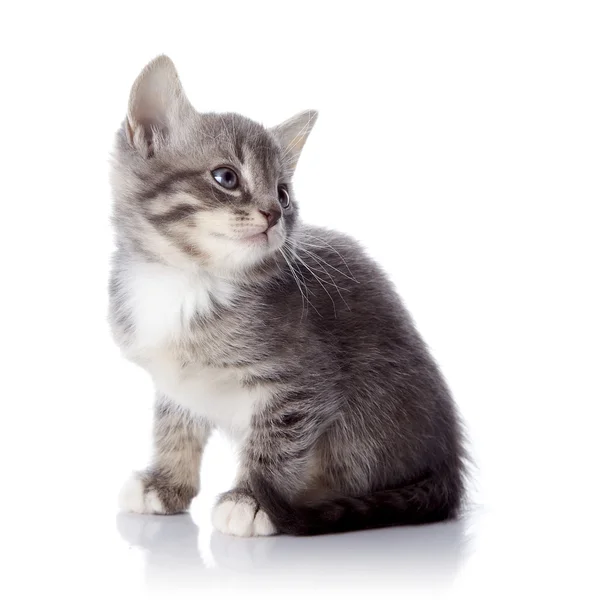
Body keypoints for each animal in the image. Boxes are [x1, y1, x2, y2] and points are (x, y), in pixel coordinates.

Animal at [111, 55, 468, 536]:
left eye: (283, 194)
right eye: (226, 177)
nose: (273, 213)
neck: (189, 279)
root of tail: (449, 468)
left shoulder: (302, 381)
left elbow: (277, 440)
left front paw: (252, 499)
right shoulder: (175, 380)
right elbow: (175, 427)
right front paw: (166, 483)